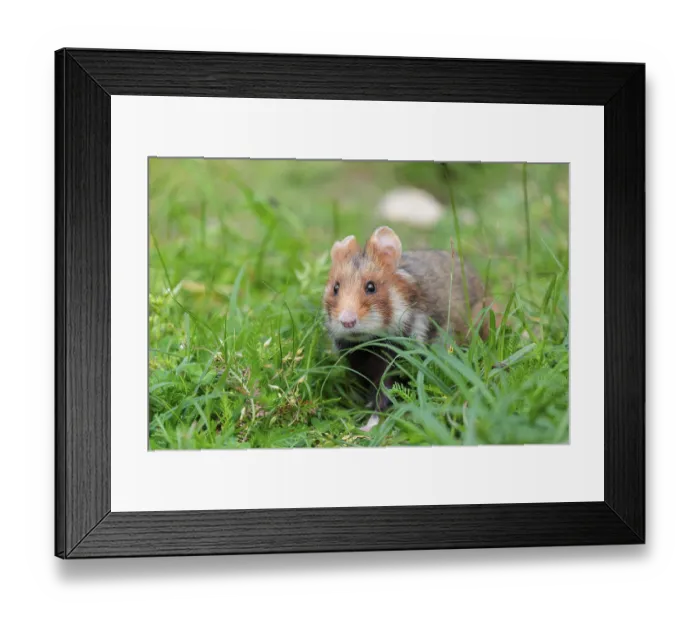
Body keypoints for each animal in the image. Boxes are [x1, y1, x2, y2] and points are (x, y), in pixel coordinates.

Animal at [323, 226, 498, 432]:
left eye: (371, 287)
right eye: (335, 288)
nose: (347, 322)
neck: (368, 344)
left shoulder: (395, 360)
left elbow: (383, 396)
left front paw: (367, 427)